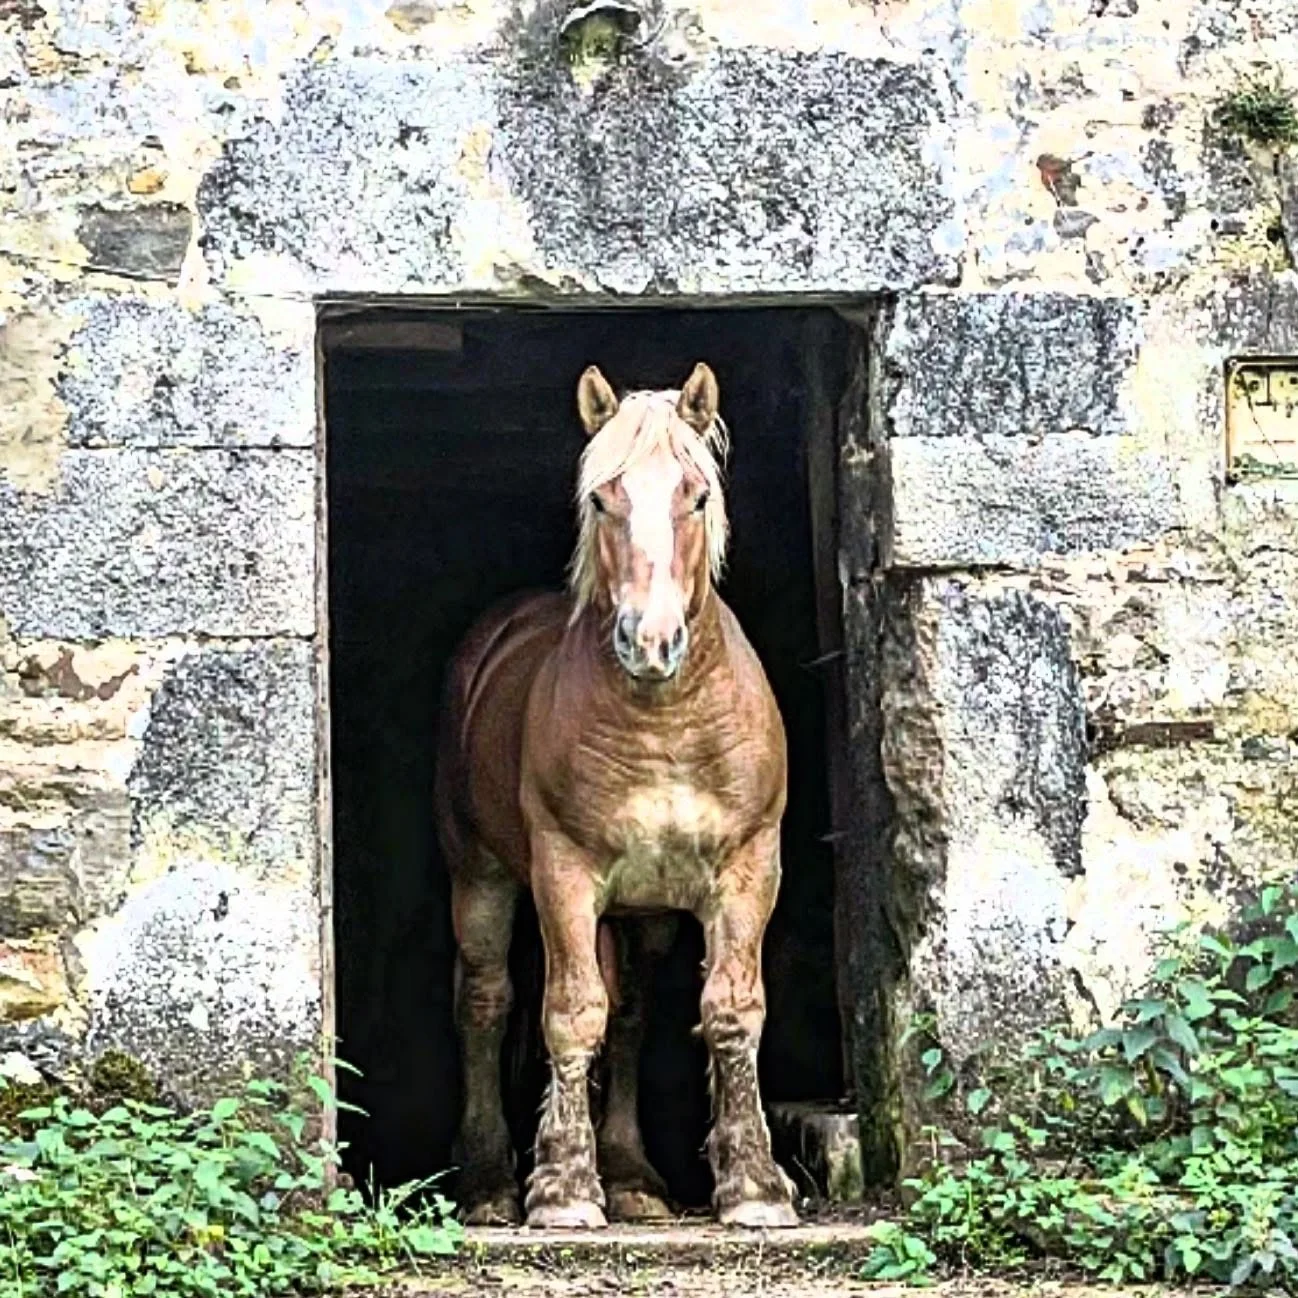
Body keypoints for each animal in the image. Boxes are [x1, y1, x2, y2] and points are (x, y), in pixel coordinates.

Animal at [434, 362, 797, 1230]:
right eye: (603, 499)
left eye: (696, 496)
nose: (651, 641)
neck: (664, 721)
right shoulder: (564, 875)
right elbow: (570, 1015)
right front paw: (563, 1189)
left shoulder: (747, 871)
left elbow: (731, 1011)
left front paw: (755, 1185)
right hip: (482, 876)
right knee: (486, 1002)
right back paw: (489, 1181)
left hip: (642, 913)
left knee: (629, 1016)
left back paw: (632, 1176)